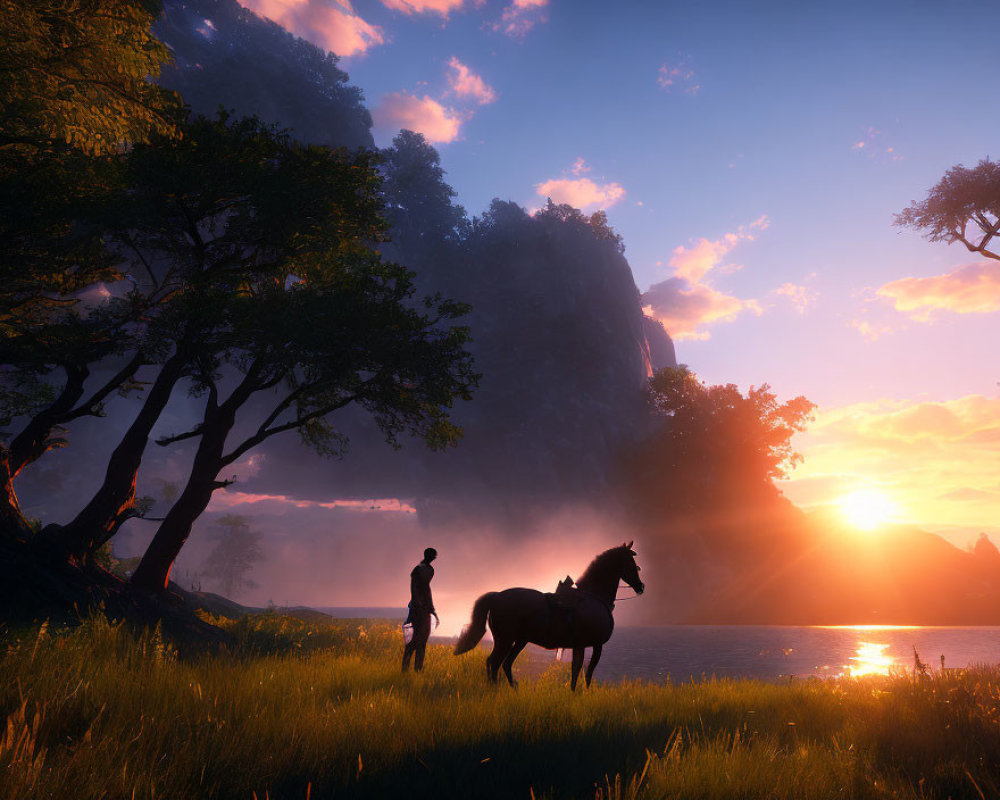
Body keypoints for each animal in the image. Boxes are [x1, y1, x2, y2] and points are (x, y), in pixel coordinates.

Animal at [452, 544, 640, 688]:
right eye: (632, 563)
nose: (641, 586)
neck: (593, 597)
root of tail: (497, 596)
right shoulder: (597, 645)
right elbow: (588, 673)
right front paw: (586, 693)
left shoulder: (579, 645)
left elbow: (576, 670)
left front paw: (574, 693)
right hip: (505, 640)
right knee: (494, 662)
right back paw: (497, 689)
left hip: (518, 641)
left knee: (504, 664)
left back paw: (513, 688)